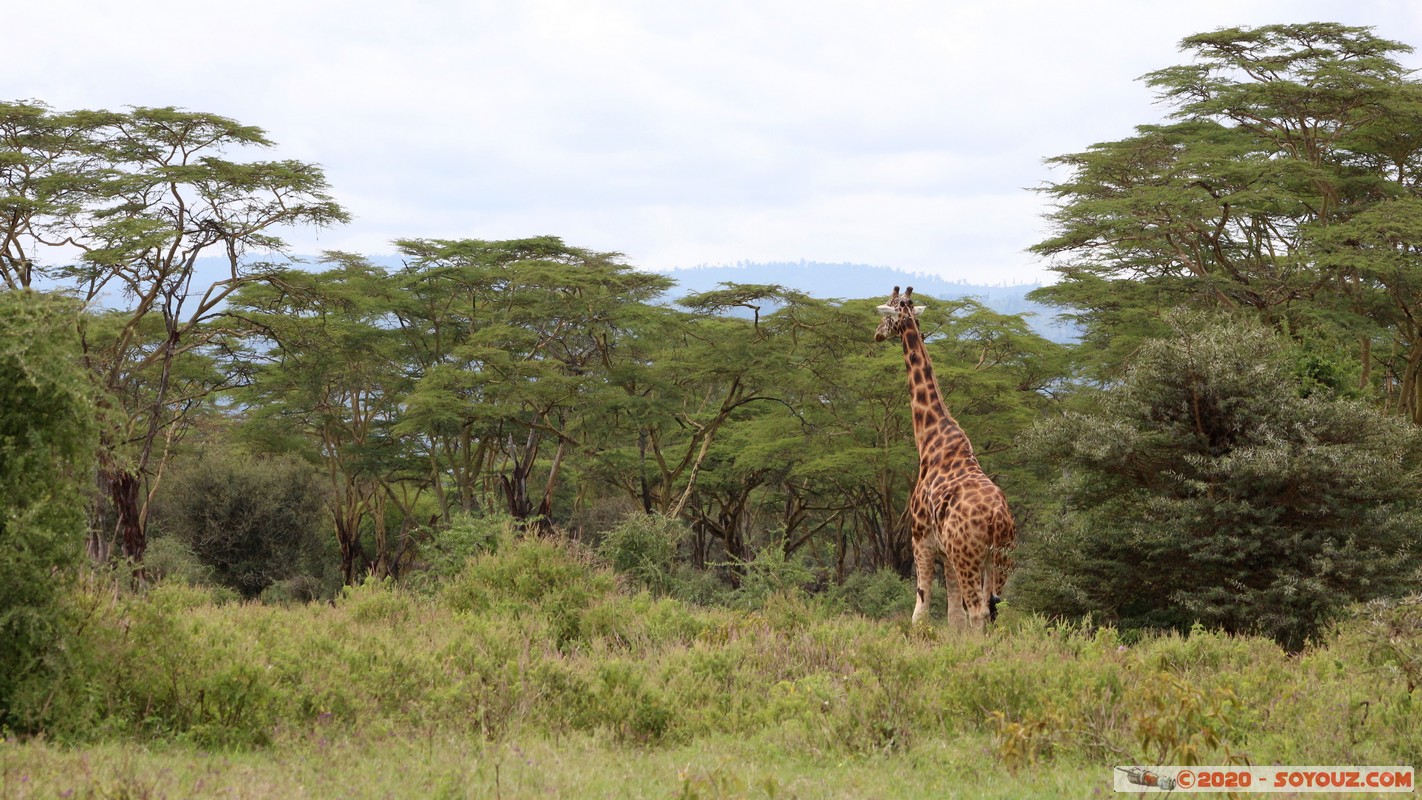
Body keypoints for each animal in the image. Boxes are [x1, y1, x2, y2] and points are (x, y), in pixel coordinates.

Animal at [870, 288, 1018, 633]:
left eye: (887, 312)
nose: (877, 334)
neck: (930, 438)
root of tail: (998, 519)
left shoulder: (920, 539)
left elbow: (921, 609)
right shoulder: (946, 552)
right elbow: (953, 614)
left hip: (969, 555)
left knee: (978, 610)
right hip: (1000, 557)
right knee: (996, 609)